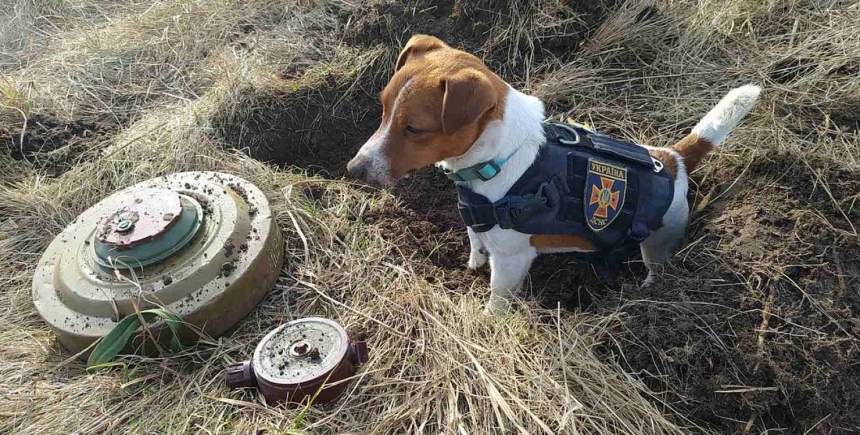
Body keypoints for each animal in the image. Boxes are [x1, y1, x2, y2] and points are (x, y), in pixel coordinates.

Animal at [346, 34, 764, 314]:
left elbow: (497, 298)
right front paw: (471, 264)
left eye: (415, 129)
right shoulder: (477, 223)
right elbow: (475, 243)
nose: (353, 169)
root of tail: (674, 158)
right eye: (383, 108)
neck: (499, 158)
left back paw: (646, 292)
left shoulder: (511, 260)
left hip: (660, 241)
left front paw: (490, 319)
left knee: (657, 267)